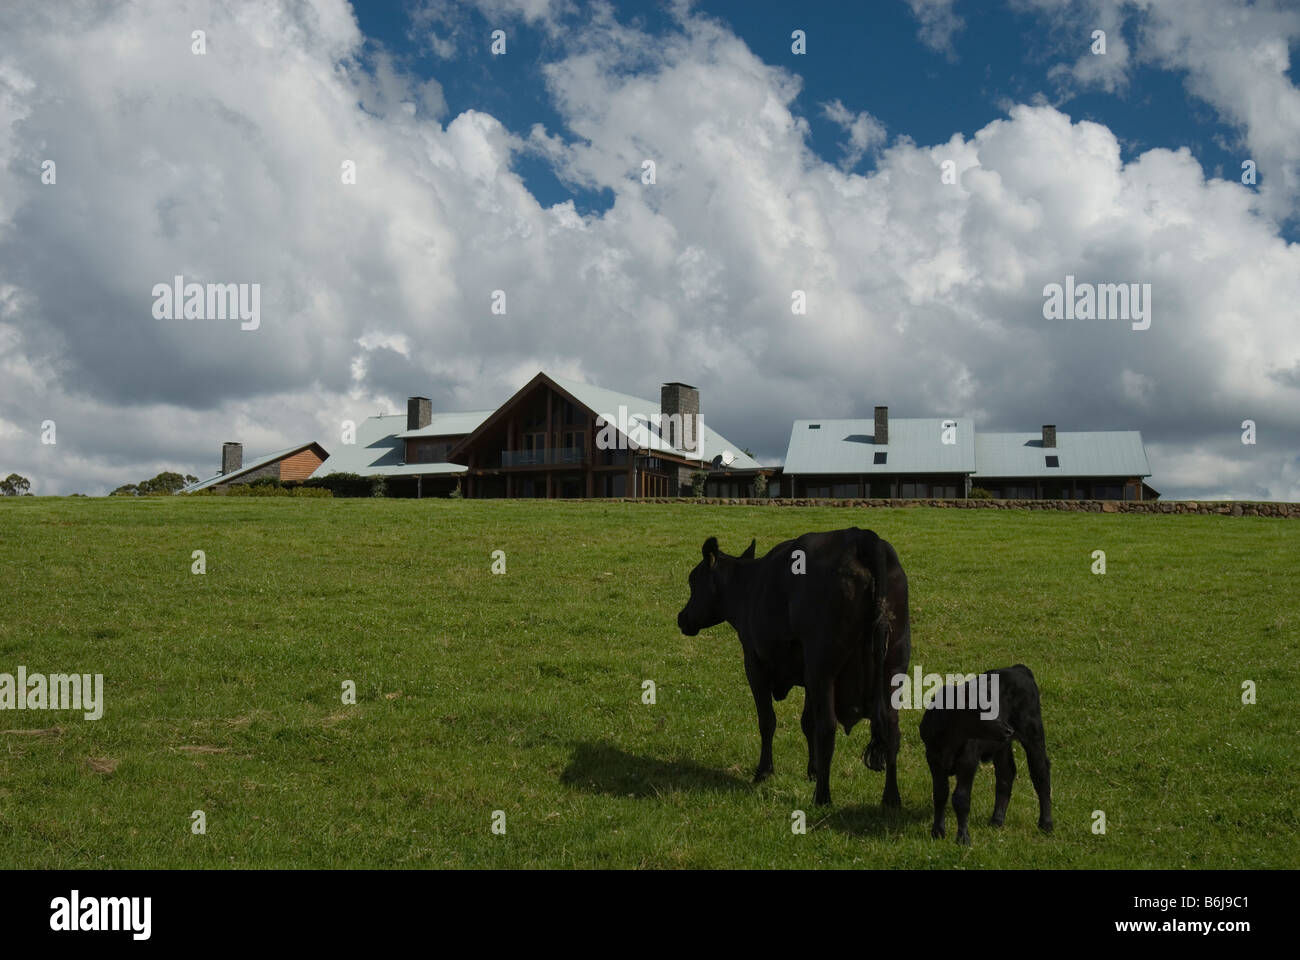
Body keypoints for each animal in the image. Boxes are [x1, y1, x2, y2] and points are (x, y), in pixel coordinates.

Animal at [676, 528, 909, 806]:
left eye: (693, 581)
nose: (681, 617)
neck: (747, 587)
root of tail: (859, 536)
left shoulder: (754, 663)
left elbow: (767, 720)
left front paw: (764, 772)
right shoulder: (807, 675)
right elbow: (807, 722)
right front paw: (813, 770)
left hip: (824, 667)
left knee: (827, 726)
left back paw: (822, 797)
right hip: (893, 664)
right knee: (891, 730)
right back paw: (891, 799)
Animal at [920, 660, 1050, 842]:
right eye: (984, 709)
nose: (1008, 730)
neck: (949, 738)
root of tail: (1017, 669)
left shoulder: (968, 760)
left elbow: (961, 798)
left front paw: (963, 838)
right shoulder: (933, 758)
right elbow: (940, 794)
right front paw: (937, 832)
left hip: (1033, 732)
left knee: (1040, 773)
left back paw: (1046, 824)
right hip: (1001, 746)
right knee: (1006, 774)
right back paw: (997, 820)